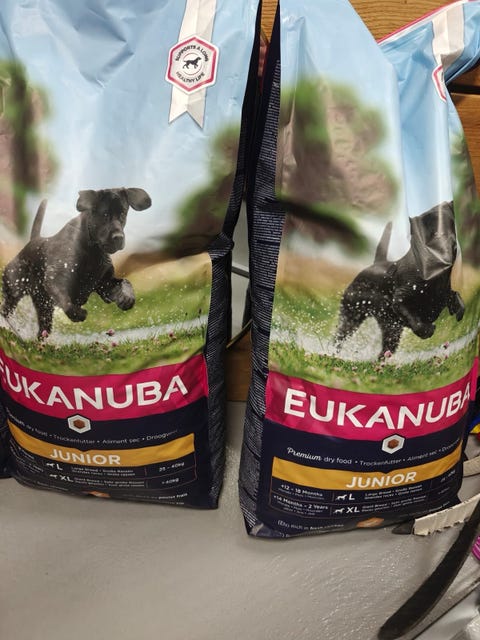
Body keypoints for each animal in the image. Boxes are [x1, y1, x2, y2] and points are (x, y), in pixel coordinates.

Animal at [1, 188, 152, 337]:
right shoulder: (56, 279)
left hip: (44, 307)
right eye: (105, 214)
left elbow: (125, 282)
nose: (119, 237)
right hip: (14, 289)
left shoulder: (105, 284)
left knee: (43, 330)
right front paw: (78, 313)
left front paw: (127, 298)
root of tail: (32, 241)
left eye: (123, 214)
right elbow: (66, 302)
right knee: (6, 308)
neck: (92, 251)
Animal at [335, 201, 465, 357]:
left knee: (385, 351)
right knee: (339, 337)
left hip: (391, 330)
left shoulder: (443, 293)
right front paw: (427, 330)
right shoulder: (401, 300)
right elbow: (416, 321)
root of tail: (375, 263)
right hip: (352, 316)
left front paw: (458, 310)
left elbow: (456, 296)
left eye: (451, 224)